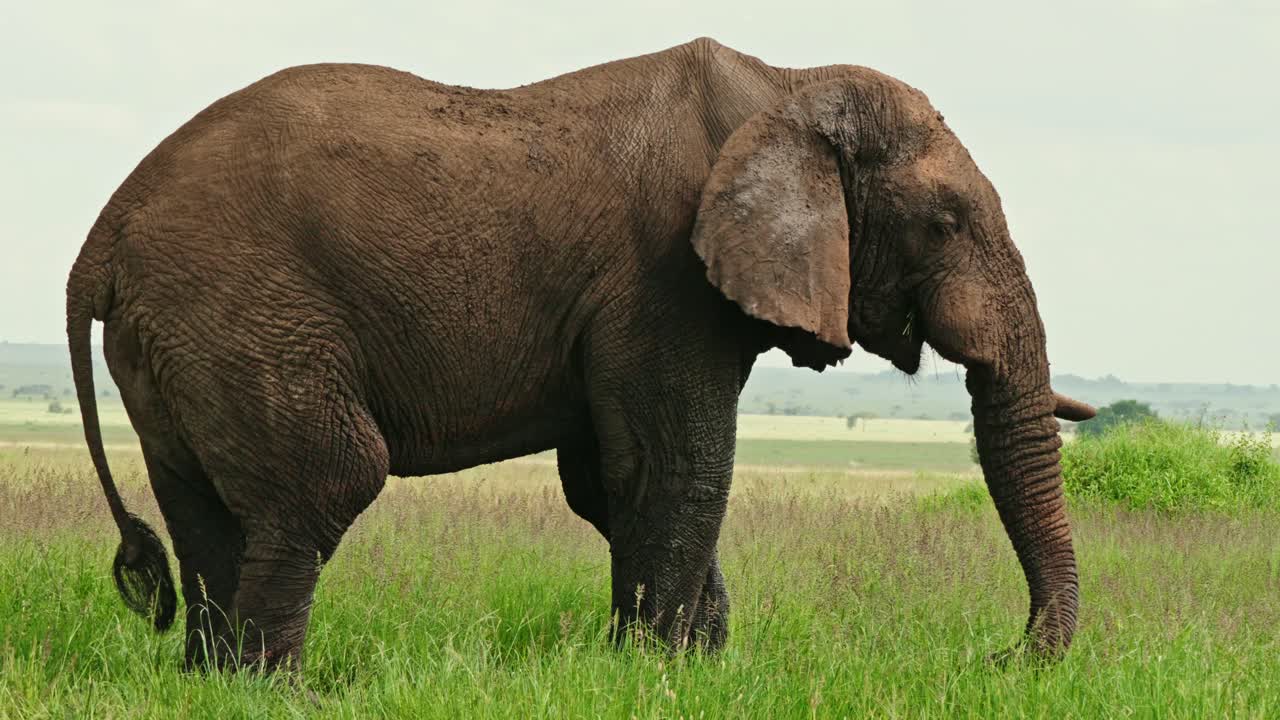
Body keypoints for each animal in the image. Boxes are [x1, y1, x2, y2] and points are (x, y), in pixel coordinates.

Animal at [67, 37, 1095, 670]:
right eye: (945, 223)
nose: (998, 657)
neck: (785, 86)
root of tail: (100, 239)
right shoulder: (664, 276)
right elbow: (674, 470)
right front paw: (662, 673)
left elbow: (611, 480)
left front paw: (696, 668)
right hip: (239, 312)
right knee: (327, 479)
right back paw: (280, 690)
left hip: (179, 339)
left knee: (205, 511)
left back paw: (213, 680)